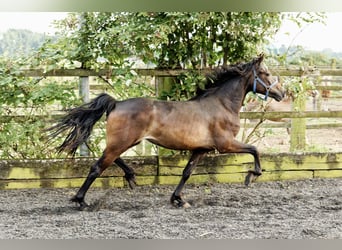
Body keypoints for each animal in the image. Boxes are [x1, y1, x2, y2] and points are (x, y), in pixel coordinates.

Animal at [47, 54, 284, 209]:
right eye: (266, 73)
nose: (281, 93)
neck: (221, 104)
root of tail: (116, 103)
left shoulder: (201, 149)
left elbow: (187, 172)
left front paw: (178, 199)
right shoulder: (225, 145)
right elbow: (255, 149)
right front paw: (252, 176)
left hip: (126, 141)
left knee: (110, 158)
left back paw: (130, 176)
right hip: (122, 142)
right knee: (98, 166)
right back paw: (80, 200)